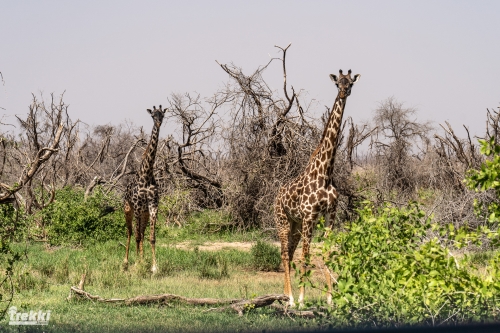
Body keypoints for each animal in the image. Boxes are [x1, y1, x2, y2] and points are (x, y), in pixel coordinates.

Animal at [123, 104, 167, 272]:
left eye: (162, 115)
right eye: (153, 115)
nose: (158, 123)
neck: (147, 175)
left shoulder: (153, 206)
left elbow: (152, 237)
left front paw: (154, 267)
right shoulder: (136, 206)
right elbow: (136, 236)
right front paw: (136, 264)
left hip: (144, 214)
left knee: (141, 233)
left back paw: (142, 259)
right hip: (128, 210)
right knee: (130, 232)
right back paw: (126, 262)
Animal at [274, 69, 360, 306]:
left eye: (350, 83)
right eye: (337, 83)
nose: (343, 93)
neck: (325, 174)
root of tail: (276, 196)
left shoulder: (330, 214)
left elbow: (328, 253)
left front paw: (330, 299)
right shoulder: (310, 216)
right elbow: (306, 256)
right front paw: (302, 300)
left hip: (295, 224)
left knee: (289, 252)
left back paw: (284, 295)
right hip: (283, 221)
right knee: (285, 253)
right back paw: (290, 298)